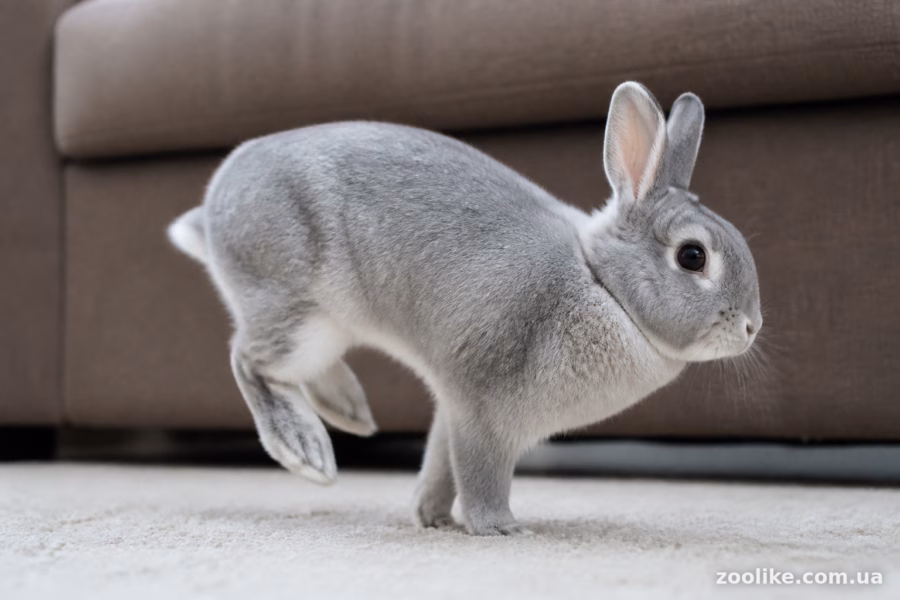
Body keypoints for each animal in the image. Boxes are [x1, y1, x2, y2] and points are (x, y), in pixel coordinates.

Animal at [168, 82, 762, 536]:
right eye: (692, 256)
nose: (752, 326)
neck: (603, 283)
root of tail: (214, 210)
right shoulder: (484, 408)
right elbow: (479, 471)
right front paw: (498, 528)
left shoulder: (452, 404)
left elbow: (439, 462)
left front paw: (432, 518)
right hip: (299, 311)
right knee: (249, 360)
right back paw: (306, 450)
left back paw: (350, 411)